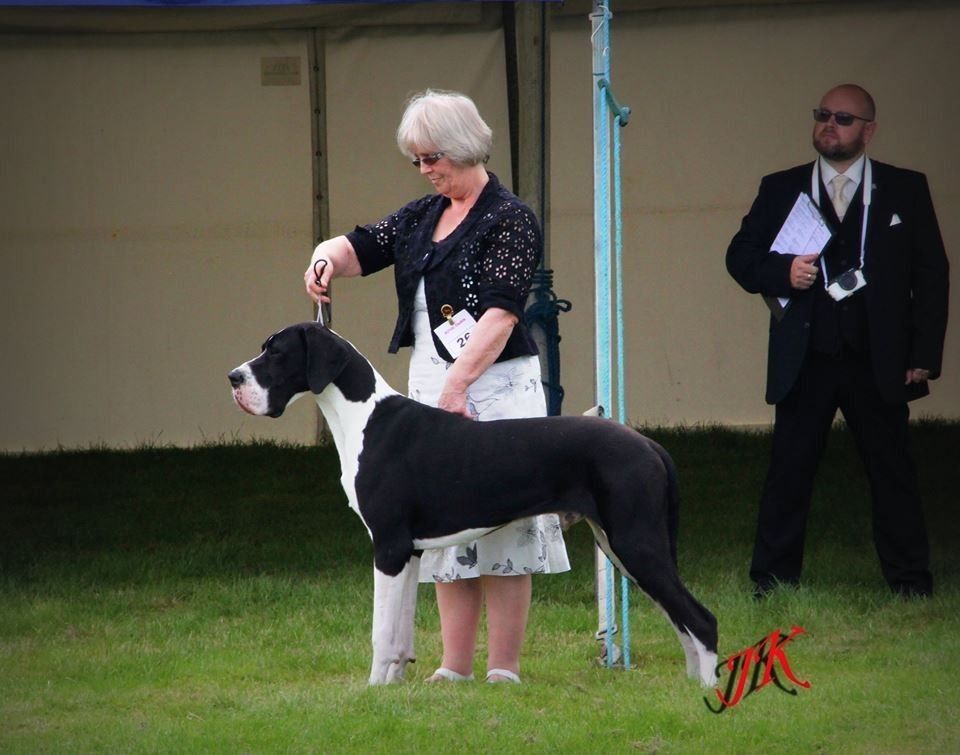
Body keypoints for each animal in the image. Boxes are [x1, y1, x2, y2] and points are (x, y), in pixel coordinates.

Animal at [229, 322, 718, 686]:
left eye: (277, 353)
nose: (233, 377)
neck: (364, 416)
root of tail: (648, 444)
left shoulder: (387, 547)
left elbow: (380, 632)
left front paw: (371, 690)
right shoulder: (410, 552)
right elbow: (400, 631)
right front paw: (394, 685)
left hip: (636, 543)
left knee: (701, 618)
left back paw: (708, 692)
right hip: (622, 548)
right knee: (680, 617)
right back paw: (692, 683)